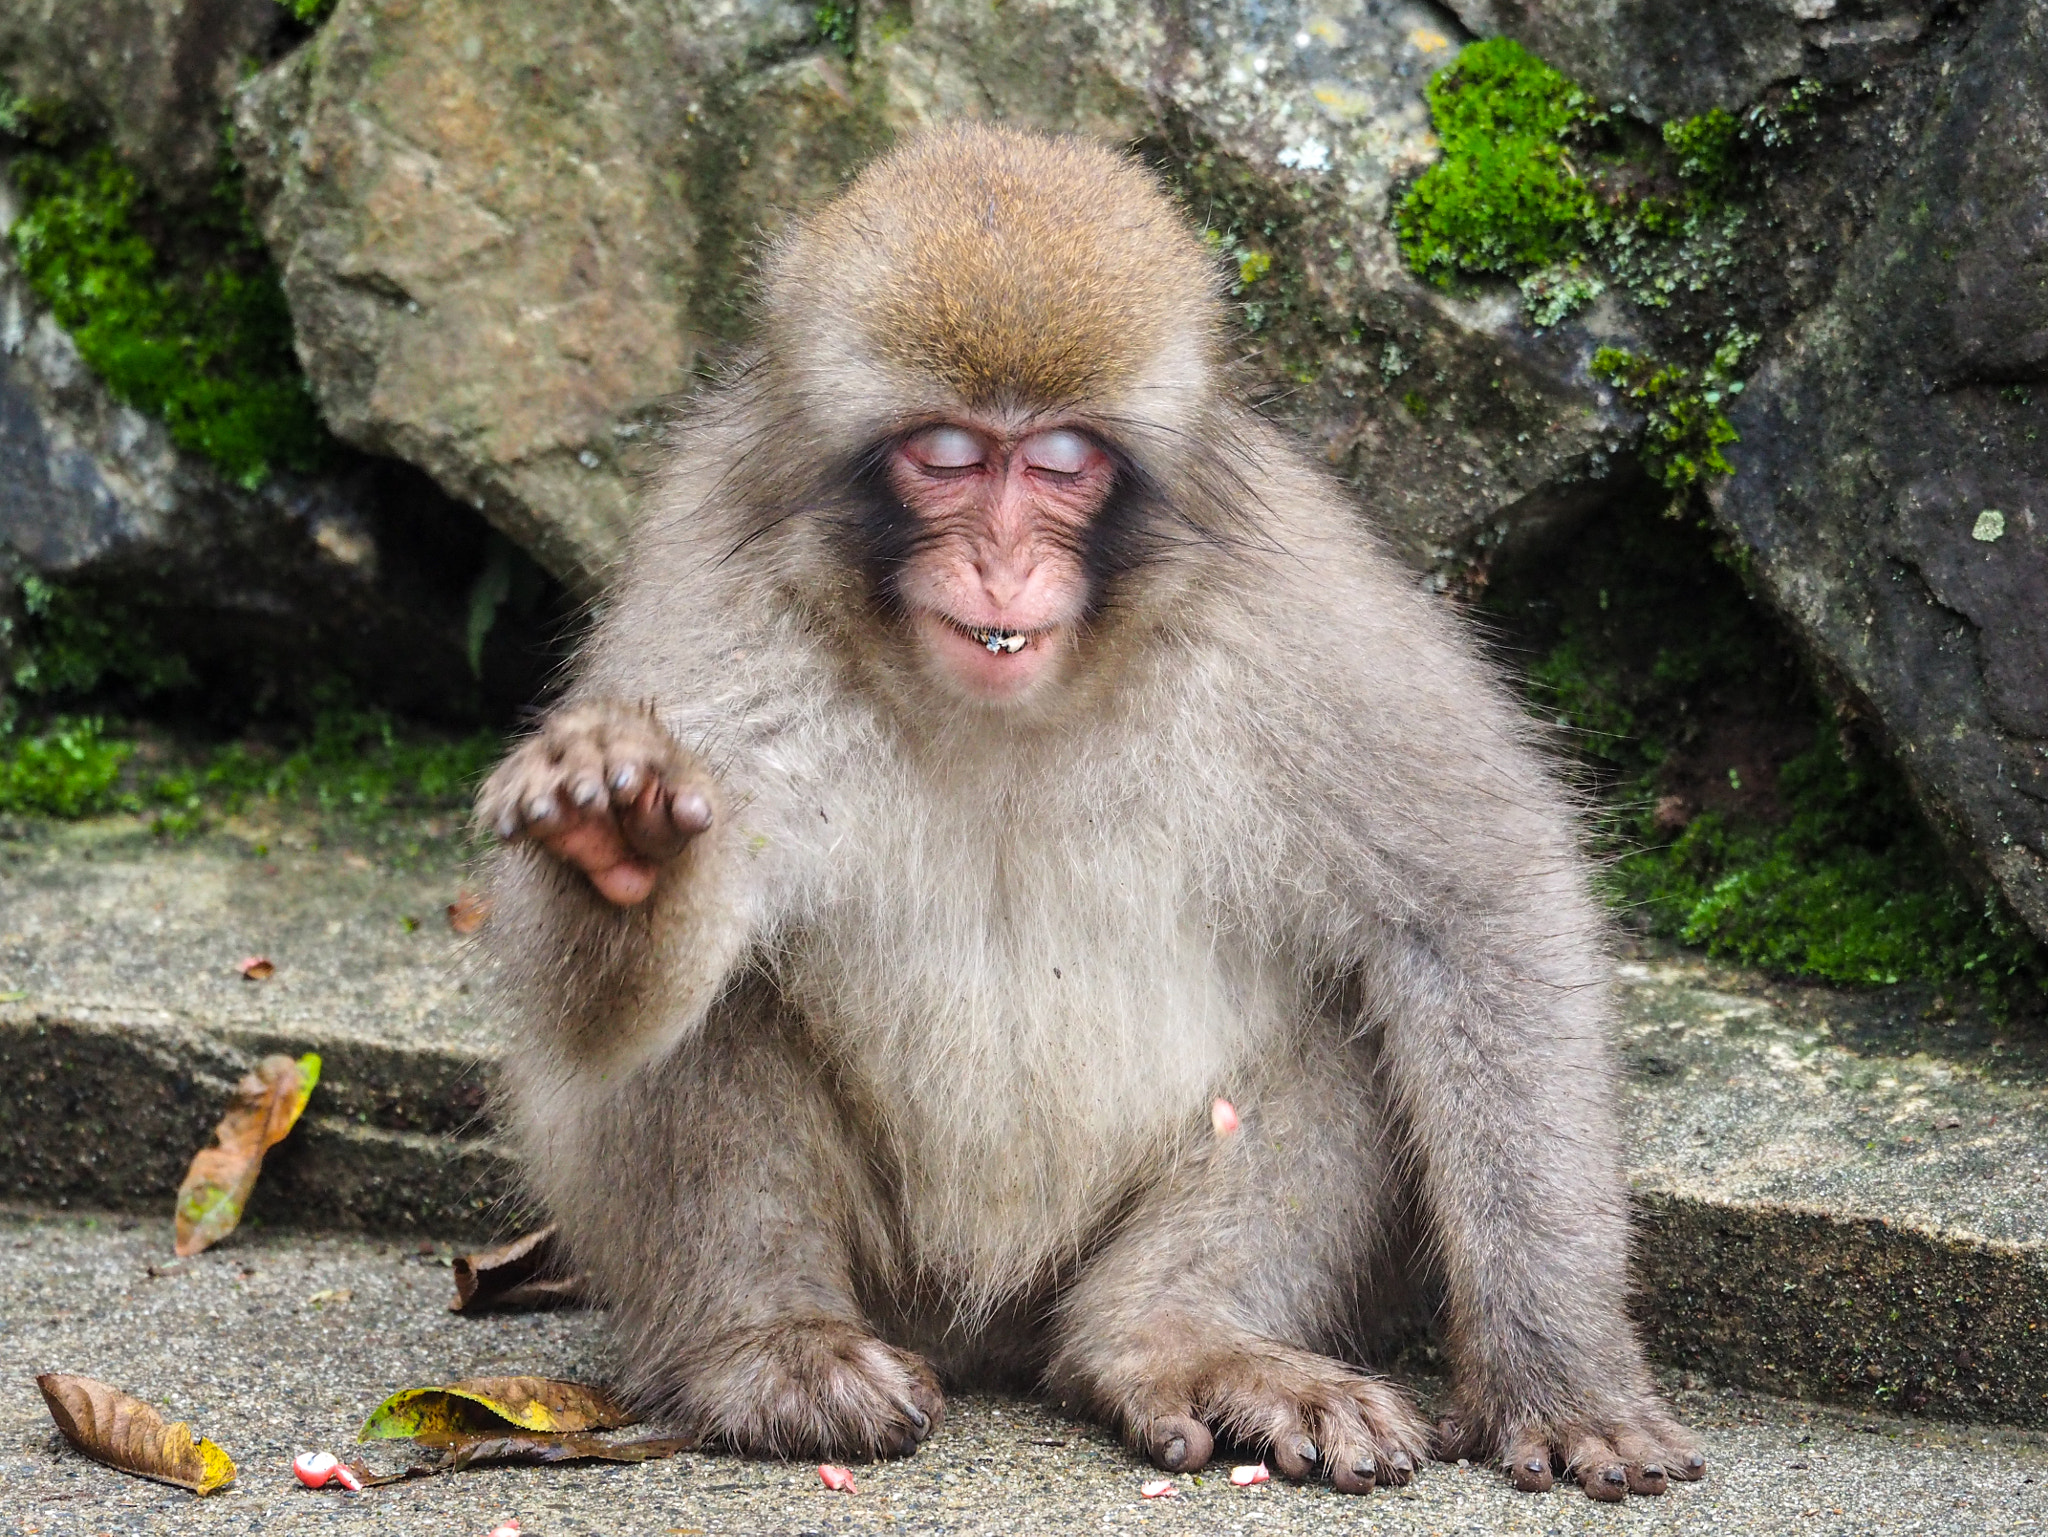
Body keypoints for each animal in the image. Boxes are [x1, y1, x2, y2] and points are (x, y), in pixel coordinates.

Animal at [476, 122, 1706, 1502]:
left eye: (1060, 461)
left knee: (1349, 1004)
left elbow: (1473, 901)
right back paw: (767, 1346)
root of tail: (988, 1327)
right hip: (897, 1279)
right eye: (950, 455)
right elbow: (584, 1009)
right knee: (721, 991)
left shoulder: (1285, 614)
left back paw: (1178, 1339)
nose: (1004, 564)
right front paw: (616, 850)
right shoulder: (717, 617)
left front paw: (1559, 1372)